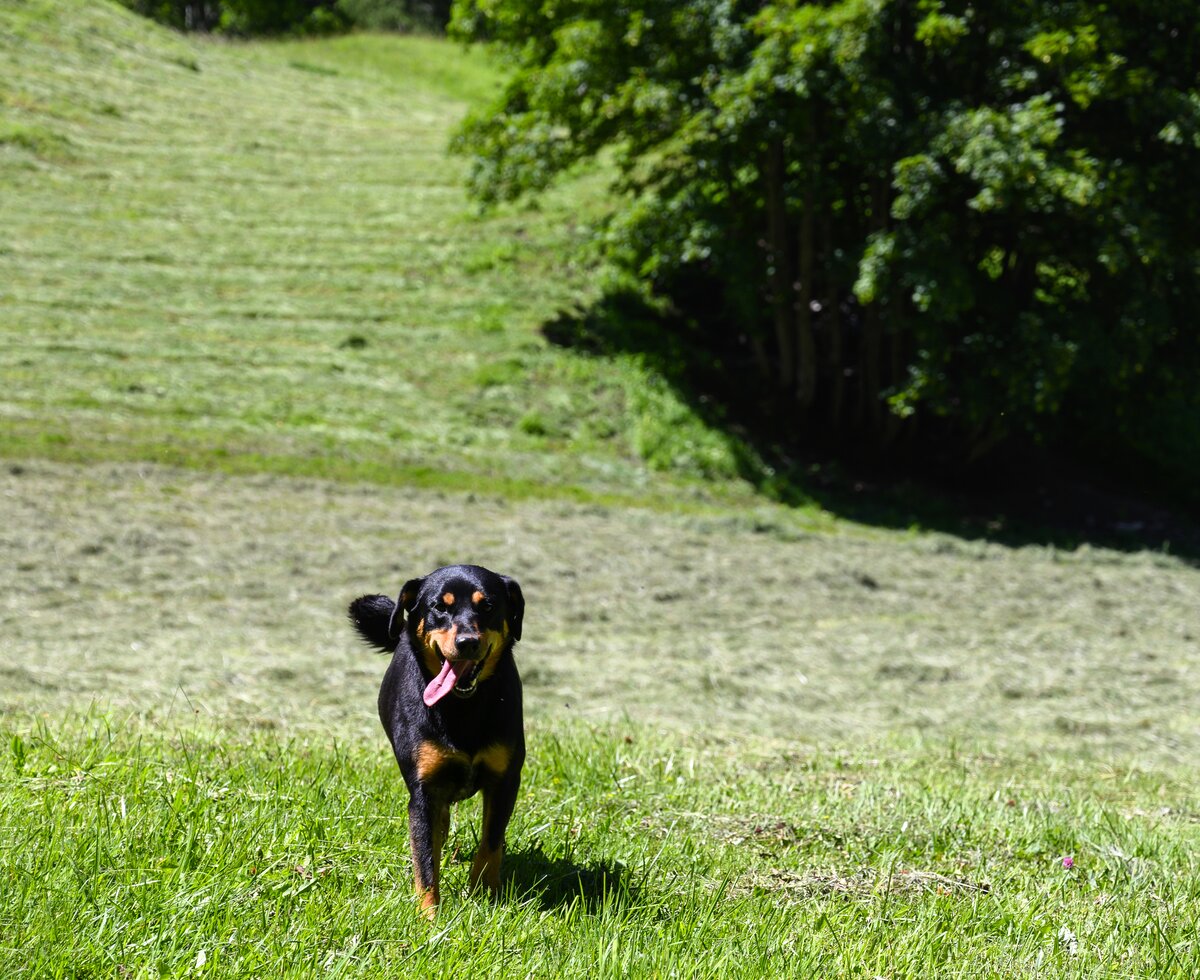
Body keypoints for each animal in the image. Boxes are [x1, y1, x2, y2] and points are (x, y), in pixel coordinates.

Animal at [343, 561, 520, 911]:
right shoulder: (424, 790)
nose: (467, 642)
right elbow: (425, 861)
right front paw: (429, 916)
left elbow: (491, 843)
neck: (463, 708)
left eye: (488, 606)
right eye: (440, 606)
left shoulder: (505, 780)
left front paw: (483, 895)